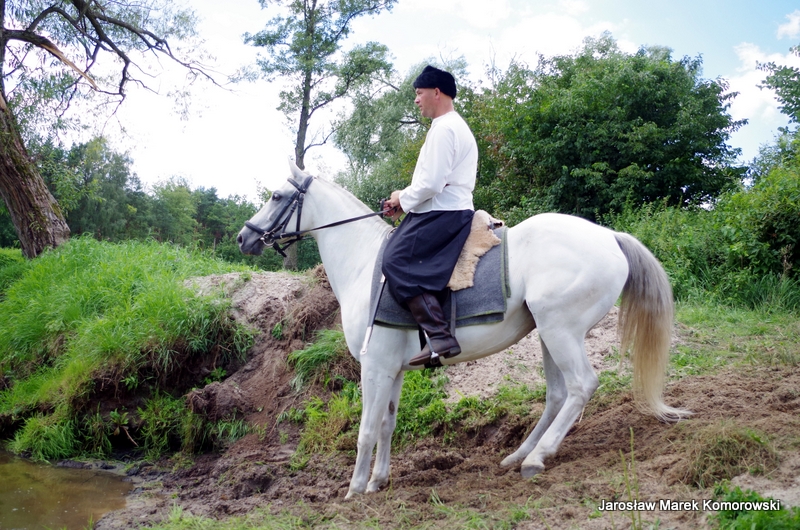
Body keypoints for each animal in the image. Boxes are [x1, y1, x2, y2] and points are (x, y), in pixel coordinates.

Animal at [237, 162, 691, 499]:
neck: (364, 263)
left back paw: (536, 458)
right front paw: (378, 481)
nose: (244, 238)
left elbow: (366, 429)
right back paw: (518, 455)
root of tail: (610, 238)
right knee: (558, 394)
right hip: (549, 334)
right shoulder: (394, 369)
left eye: (276, 196)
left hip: (560, 331)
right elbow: (386, 424)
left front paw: (354, 490)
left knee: (581, 386)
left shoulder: (375, 367)